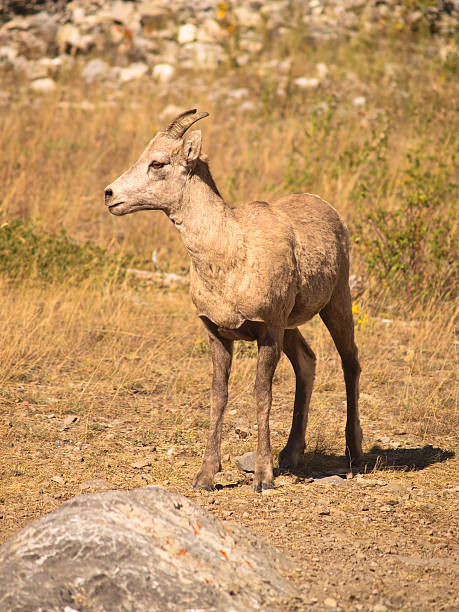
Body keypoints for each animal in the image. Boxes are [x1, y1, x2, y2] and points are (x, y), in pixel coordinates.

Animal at [105, 109, 362, 492]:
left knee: (350, 363)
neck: (229, 258)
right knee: (307, 362)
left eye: (158, 163)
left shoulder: (268, 331)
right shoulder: (218, 334)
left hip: (336, 303)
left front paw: (263, 478)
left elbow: (261, 395)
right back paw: (291, 454)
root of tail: (329, 209)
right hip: (292, 327)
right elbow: (218, 397)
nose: (109, 195)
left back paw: (354, 454)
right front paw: (205, 477)